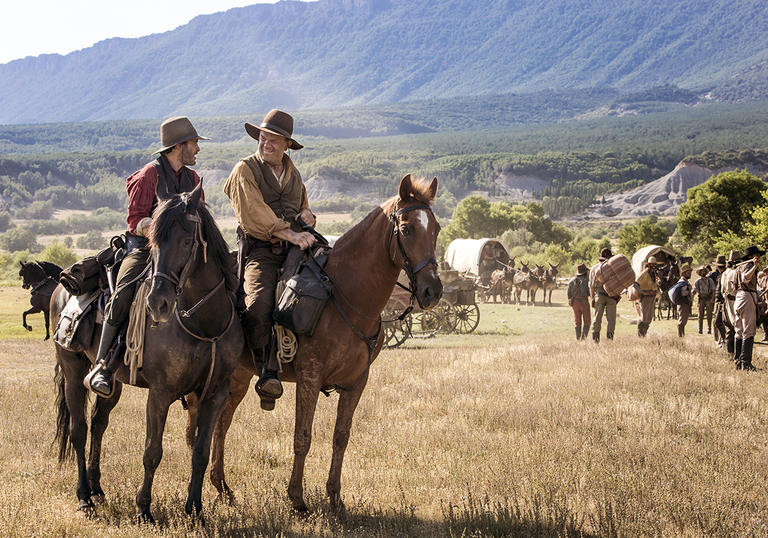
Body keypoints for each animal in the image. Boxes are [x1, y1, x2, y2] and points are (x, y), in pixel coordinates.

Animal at [52, 181, 243, 520]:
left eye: (187, 240)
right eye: (153, 242)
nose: (158, 303)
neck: (204, 324)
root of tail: (61, 285)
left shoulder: (215, 393)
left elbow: (201, 452)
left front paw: (195, 510)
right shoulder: (160, 393)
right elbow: (152, 452)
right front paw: (144, 509)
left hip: (112, 383)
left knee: (98, 423)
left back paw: (98, 489)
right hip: (73, 370)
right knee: (78, 430)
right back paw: (84, 497)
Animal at [185, 173, 444, 510]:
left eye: (435, 229)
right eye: (406, 228)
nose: (432, 291)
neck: (345, 296)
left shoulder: (357, 382)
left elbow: (341, 437)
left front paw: (335, 498)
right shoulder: (309, 376)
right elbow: (303, 437)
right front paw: (297, 498)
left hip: (238, 377)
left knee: (221, 423)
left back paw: (223, 488)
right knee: (200, 423)